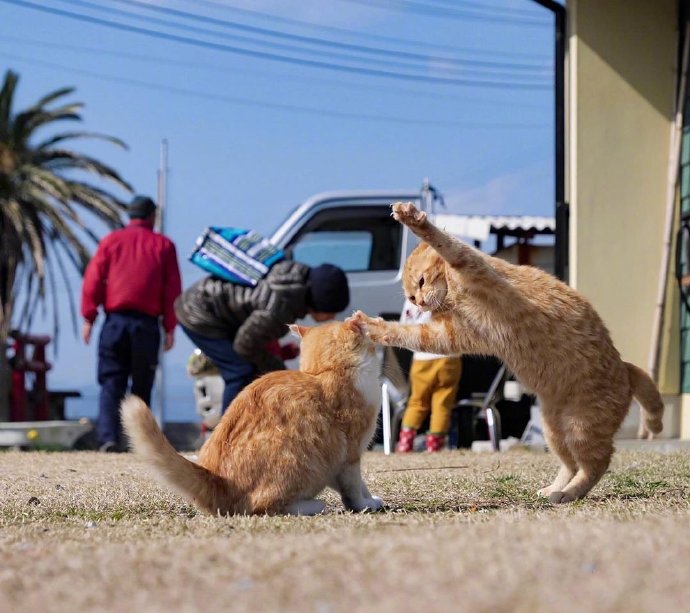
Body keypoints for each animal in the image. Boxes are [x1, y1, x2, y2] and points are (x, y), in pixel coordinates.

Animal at [121, 318, 384, 512]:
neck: (325, 371)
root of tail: (216, 480)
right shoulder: (349, 454)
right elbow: (354, 487)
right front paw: (364, 504)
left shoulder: (336, 465)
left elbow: (358, 484)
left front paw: (371, 498)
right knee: (263, 506)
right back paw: (313, 505)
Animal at [352, 201, 664, 502]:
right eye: (412, 297)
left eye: (421, 282)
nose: (419, 303)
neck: (454, 297)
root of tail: (625, 368)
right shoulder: (447, 336)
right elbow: (406, 334)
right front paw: (370, 326)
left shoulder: (471, 266)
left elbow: (443, 241)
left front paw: (412, 217)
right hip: (555, 430)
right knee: (572, 464)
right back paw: (554, 490)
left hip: (582, 427)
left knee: (596, 464)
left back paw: (569, 493)